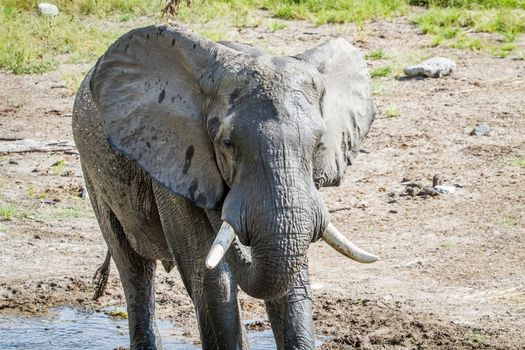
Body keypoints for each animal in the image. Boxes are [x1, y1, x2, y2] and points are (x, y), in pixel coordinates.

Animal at [72, 23, 376, 348]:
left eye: (318, 144)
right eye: (227, 143)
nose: (220, 206)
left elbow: (291, 279)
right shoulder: (174, 163)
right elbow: (212, 280)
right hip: (92, 168)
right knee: (134, 269)